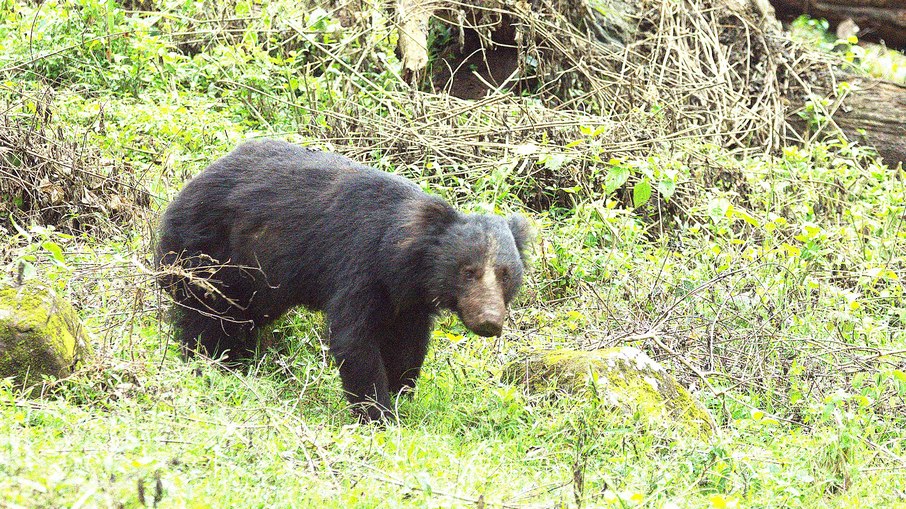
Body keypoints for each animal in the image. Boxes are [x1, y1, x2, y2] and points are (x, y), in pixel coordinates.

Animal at [155, 139, 531, 422]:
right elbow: (355, 339)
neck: (404, 262)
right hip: (209, 252)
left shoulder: (408, 300)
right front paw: (379, 414)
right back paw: (207, 358)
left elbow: (408, 344)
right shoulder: (358, 263)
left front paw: (401, 394)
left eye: (505, 274)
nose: (489, 321)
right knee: (205, 313)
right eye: (468, 271)